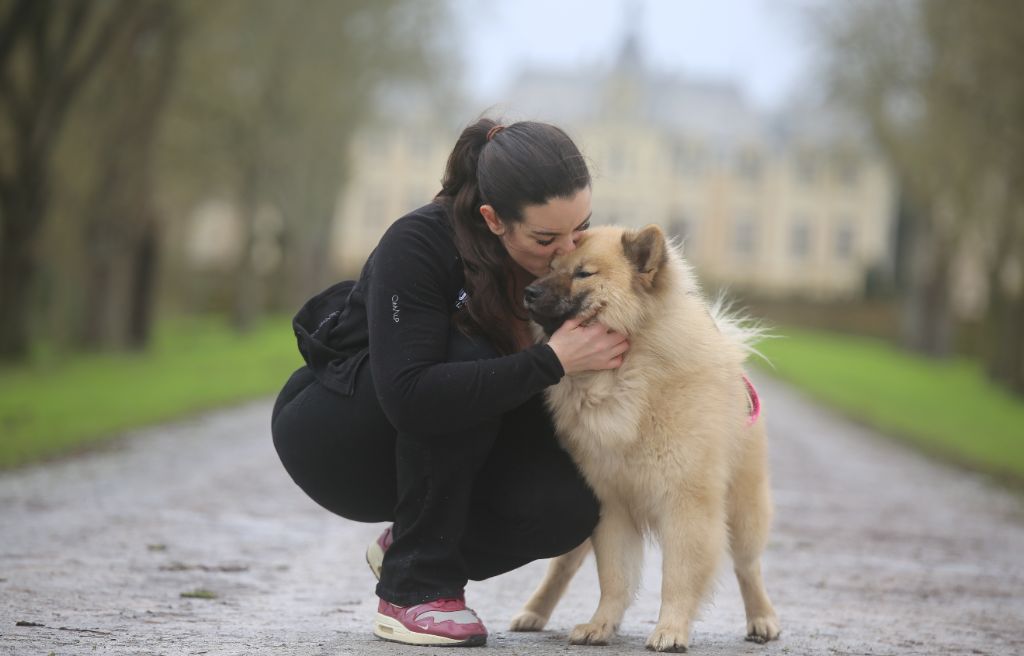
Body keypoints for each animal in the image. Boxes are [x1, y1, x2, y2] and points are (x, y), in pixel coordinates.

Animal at [516, 224, 778, 650]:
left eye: (583, 273)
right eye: (551, 267)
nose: (529, 291)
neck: (623, 375)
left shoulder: (686, 505)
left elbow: (678, 577)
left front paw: (670, 630)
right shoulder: (611, 506)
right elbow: (614, 579)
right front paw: (601, 624)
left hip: (743, 510)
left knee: (748, 566)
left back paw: (762, 619)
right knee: (564, 565)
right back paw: (533, 612)